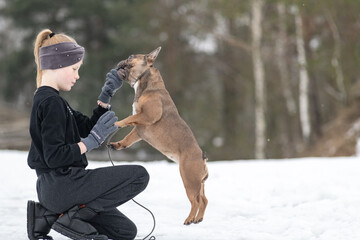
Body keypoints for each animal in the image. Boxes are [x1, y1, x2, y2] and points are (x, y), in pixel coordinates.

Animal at [109, 47, 208, 225]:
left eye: (131, 57)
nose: (121, 61)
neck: (145, 82)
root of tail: (202, 158)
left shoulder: (147, 116)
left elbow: (128, 119)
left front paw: (117, 123)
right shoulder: (139, 129)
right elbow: (128, 138)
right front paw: (117, 144)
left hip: (189, 179)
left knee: (195, 201)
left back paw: (189, 219)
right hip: (199, 183)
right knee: (204, 199)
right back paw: (198, 218)